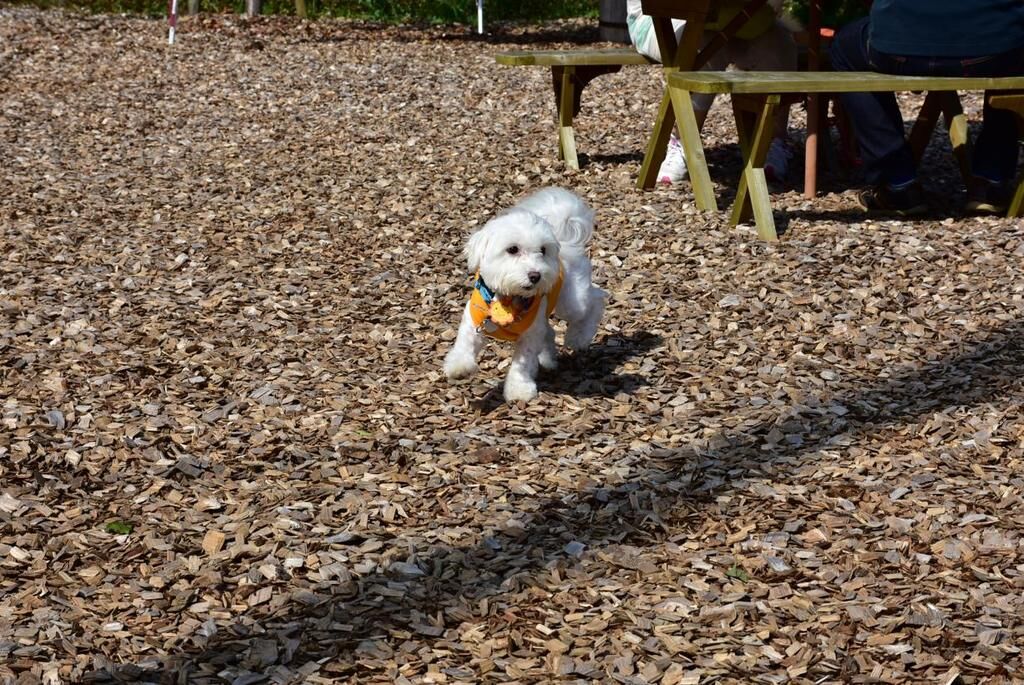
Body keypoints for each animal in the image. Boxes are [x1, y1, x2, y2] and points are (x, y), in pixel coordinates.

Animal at [442, 185, 602, 401]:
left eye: (543, 250)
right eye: (512, 249)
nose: (535, 275)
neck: (508, 299)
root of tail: (566, 242)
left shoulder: (529, 334)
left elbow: (522, 364)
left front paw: (519, 389)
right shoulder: (474, 318)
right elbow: (465, 341)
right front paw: (459, 365)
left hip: (572, 301)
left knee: (597, 299)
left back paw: (579, 338)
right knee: (551, 331)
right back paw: (549, 359)